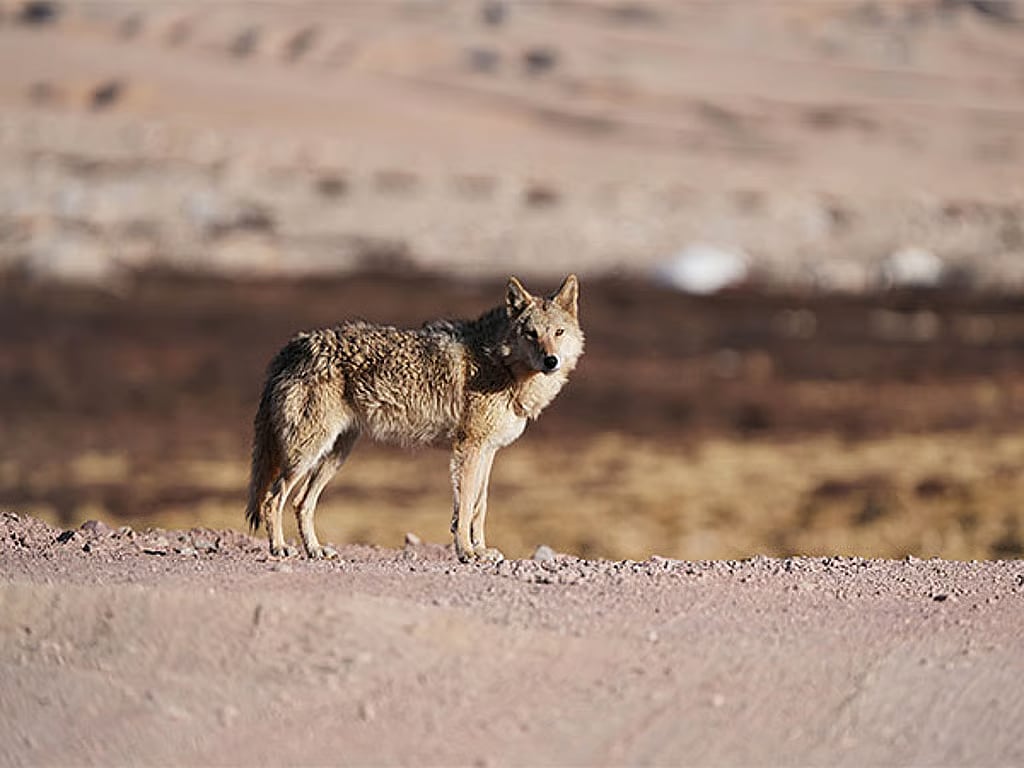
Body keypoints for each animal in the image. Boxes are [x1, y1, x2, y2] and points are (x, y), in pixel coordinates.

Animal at [246, 274, 583, 562]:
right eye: (531, 334)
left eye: (558, 332)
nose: (551, 361)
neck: (501, 365)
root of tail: (294, 345)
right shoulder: (468, 449)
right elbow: (465, 507)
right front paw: (466, 552)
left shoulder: (488, 451)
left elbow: (479, 506)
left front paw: (481, 550)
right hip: (305, 455)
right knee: (273, 498)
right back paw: (279, 548)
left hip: (335, 455)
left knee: (301, 503)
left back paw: (315, 550)